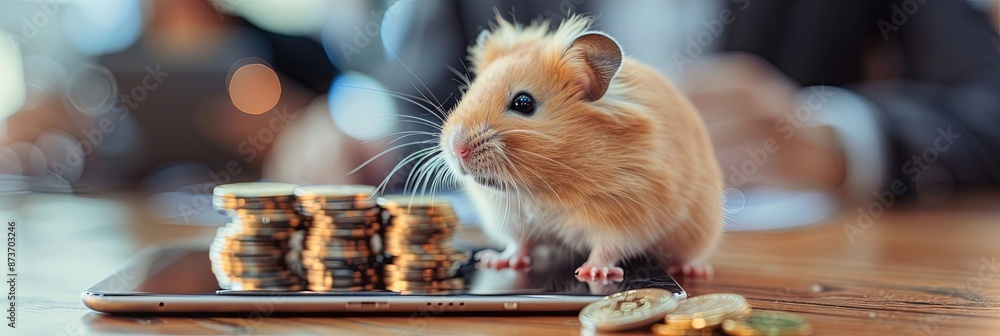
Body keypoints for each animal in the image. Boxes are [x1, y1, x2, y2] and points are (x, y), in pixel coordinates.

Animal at [438, 14, 720, 280]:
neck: (537, 191)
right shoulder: (512, 220)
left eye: (524, 103)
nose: (457, 149)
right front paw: (493, 262)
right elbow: (519, 244)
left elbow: (608, 247)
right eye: (469, 92)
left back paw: (694, 270)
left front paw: (592, 272)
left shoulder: (626, 211)